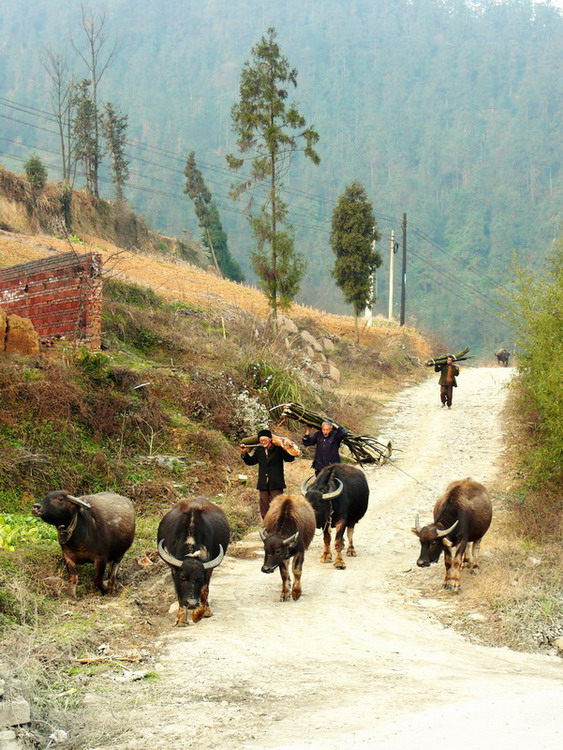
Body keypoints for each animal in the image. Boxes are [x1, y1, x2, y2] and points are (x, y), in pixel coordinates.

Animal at [156, 500, 229, 628]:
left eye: (200, 578)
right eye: (183, 576)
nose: (191, 604)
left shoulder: (208, 571)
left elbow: (204, 591)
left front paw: (198, 615)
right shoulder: (174, 572)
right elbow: (179, 592)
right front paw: (181, 620)